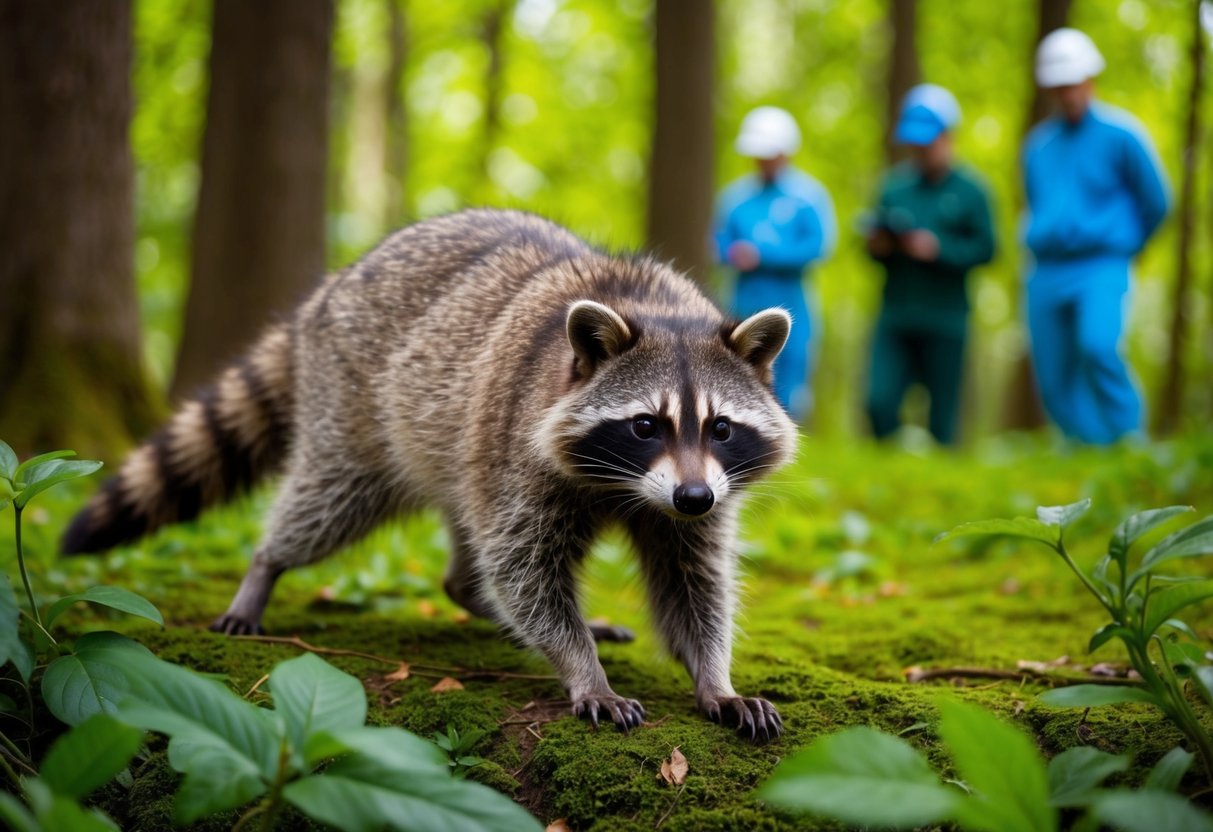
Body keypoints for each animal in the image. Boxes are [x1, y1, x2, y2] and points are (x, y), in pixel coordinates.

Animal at [63, 209, 798, 741]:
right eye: (646, 425)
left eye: (721, 428)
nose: (693, 498)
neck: (654, 307)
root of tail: (331, 287)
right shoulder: (520, 444)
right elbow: (524, 570)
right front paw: (584, 672)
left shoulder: (695, 497)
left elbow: (692, 582)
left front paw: (715, 678)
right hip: (360, 416)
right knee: (326, 506)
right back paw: (265, 568)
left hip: (458, 446)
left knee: (471, 551)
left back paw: (482, 600)